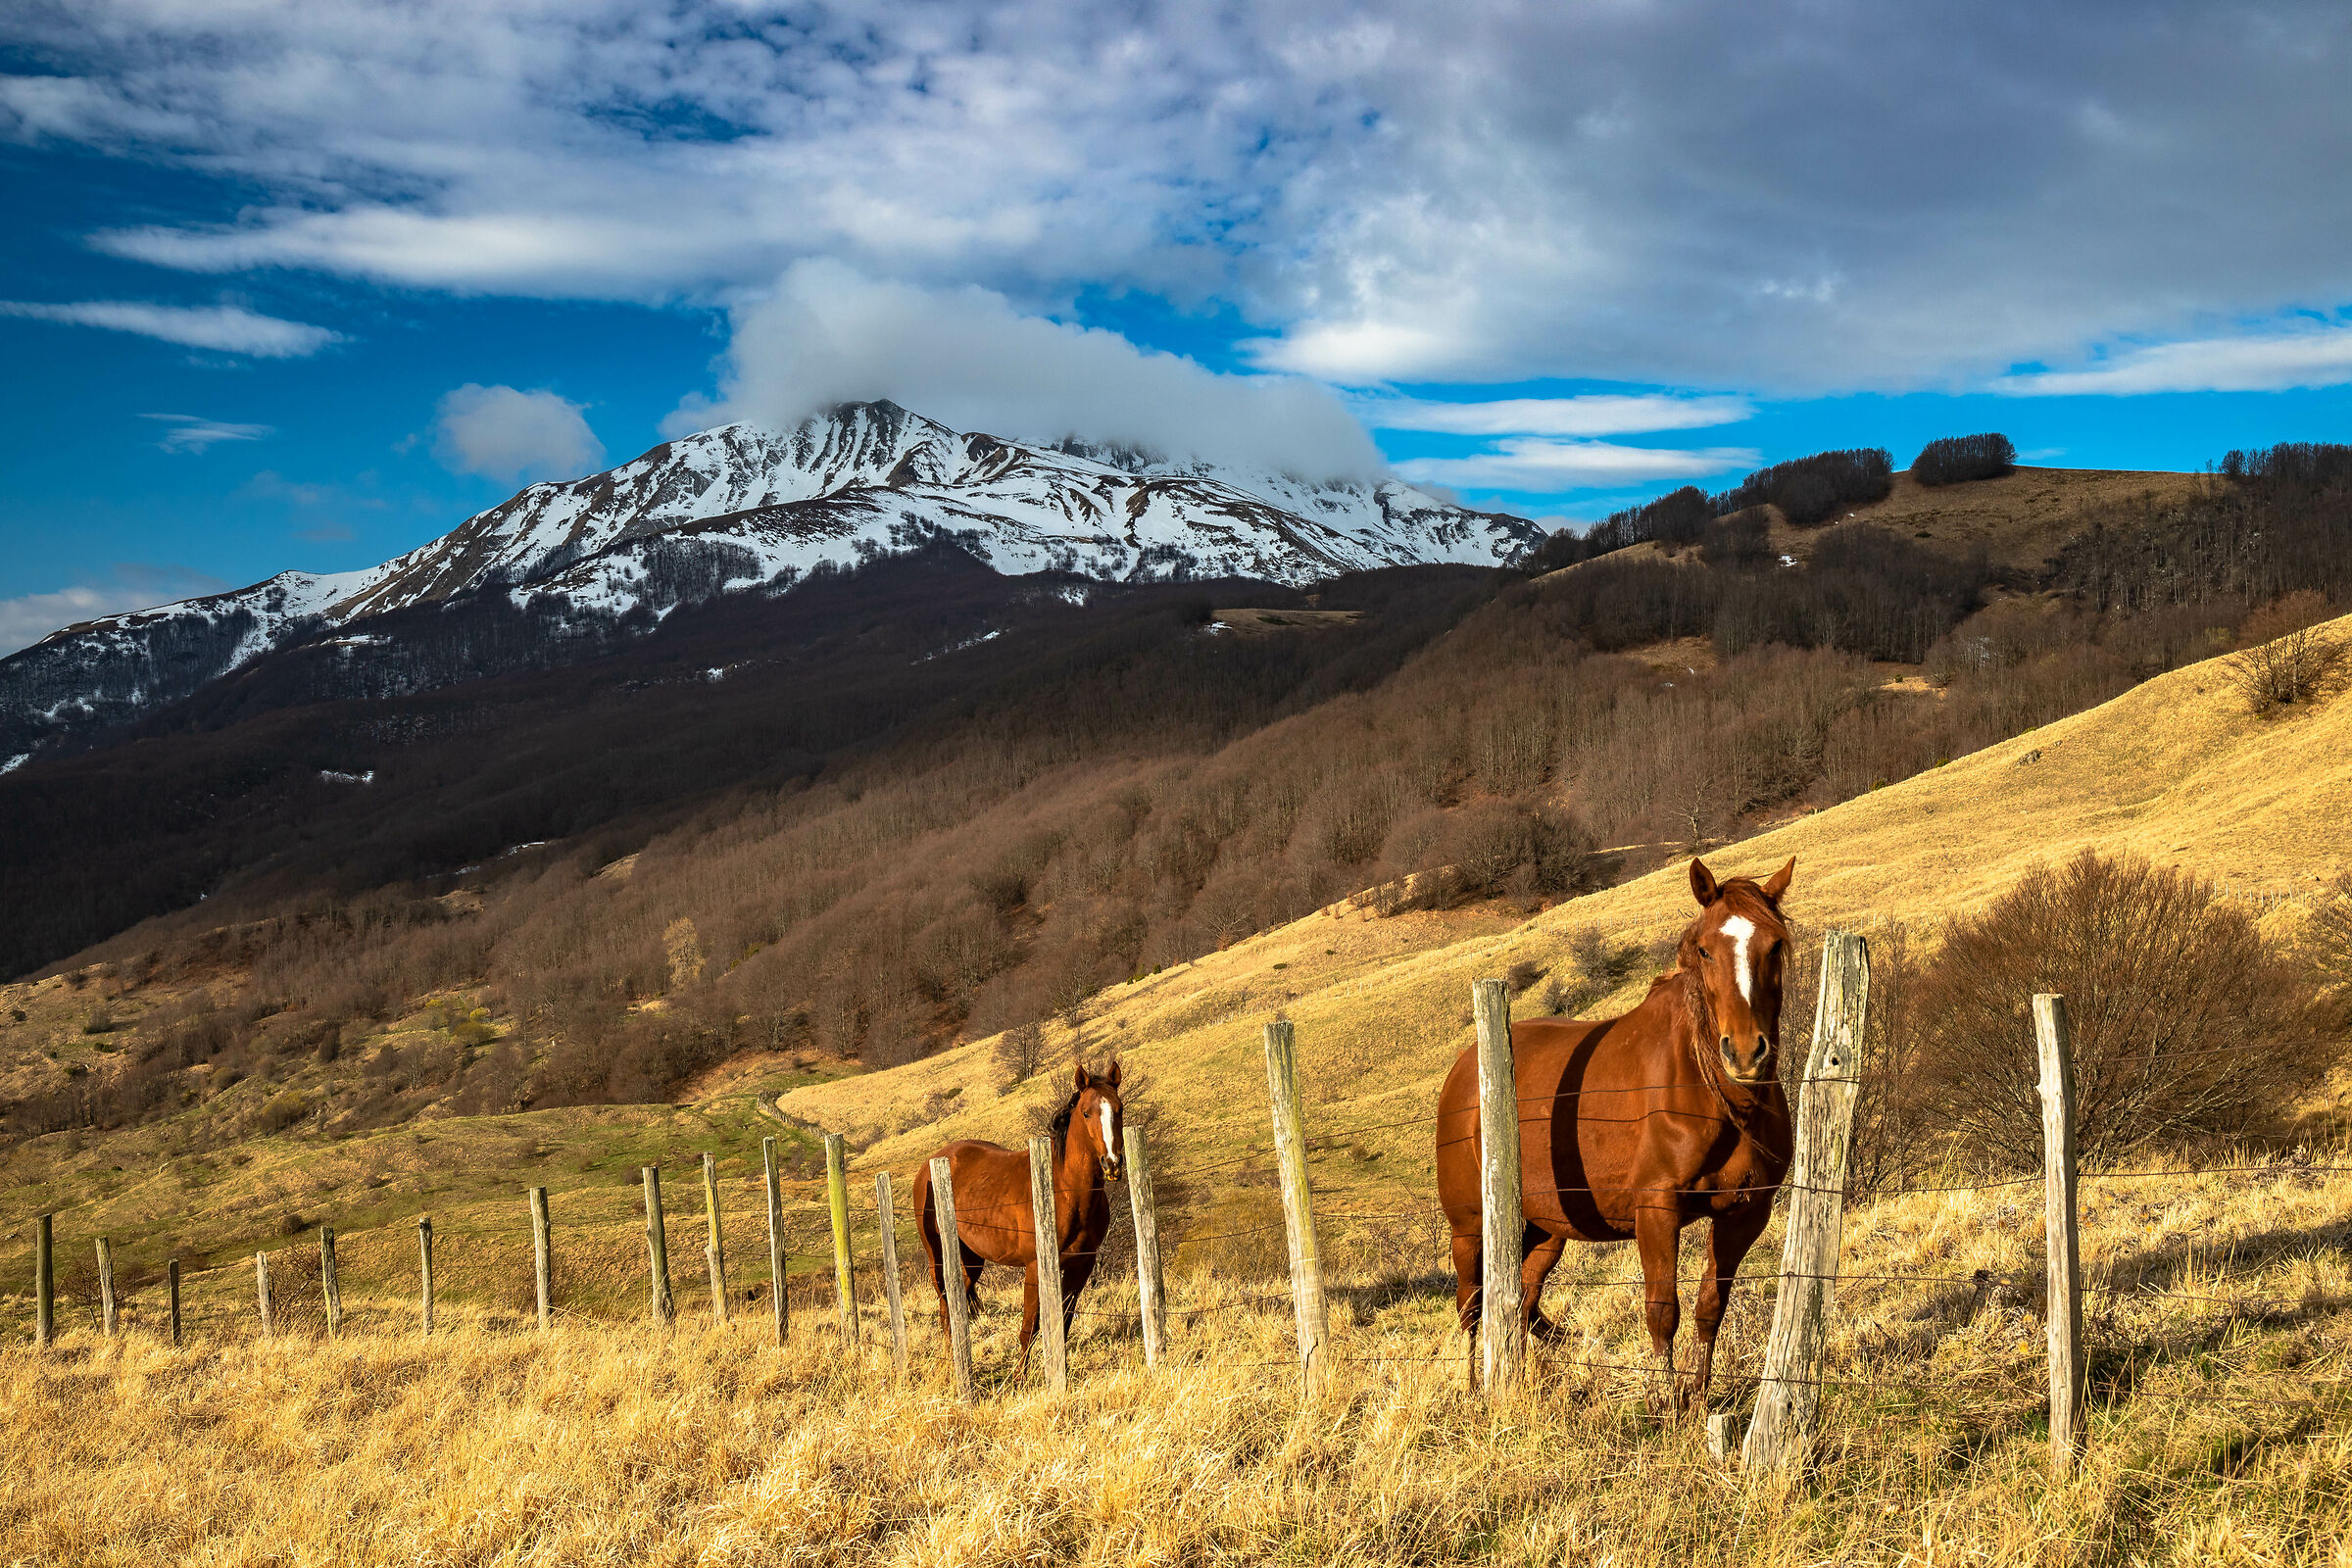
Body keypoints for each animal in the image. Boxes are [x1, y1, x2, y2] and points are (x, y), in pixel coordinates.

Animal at [913, 1059, 1125, 1377]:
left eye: (1119, 1108)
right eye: (1087, 1112)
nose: (1111, 1163)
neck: (1063, 1189)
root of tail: (930, 1164)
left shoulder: (1081, 1266)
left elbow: (1063, 1324)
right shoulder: (1035, 1267)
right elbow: (1030, 1327)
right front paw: (1020, 1378)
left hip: (971, 1259)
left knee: (956, 1300)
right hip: (936, 1255)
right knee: (944, 1303)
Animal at [1434, 856, 1797, 1410]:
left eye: (1774, 944)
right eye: (1705, 949)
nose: (1744, 1052)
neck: (1707, 1088)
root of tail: (1462, 1069)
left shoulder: (1745, 1213)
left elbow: (1710, 1305)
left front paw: (1698, 1401)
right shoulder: (1657, 1210)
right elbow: (1663, 1310)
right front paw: (1666, 1407)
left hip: (1547, 1227)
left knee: (1523, 1298)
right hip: (1470, 1227)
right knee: (1472, 1305)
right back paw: (1475, 1388)